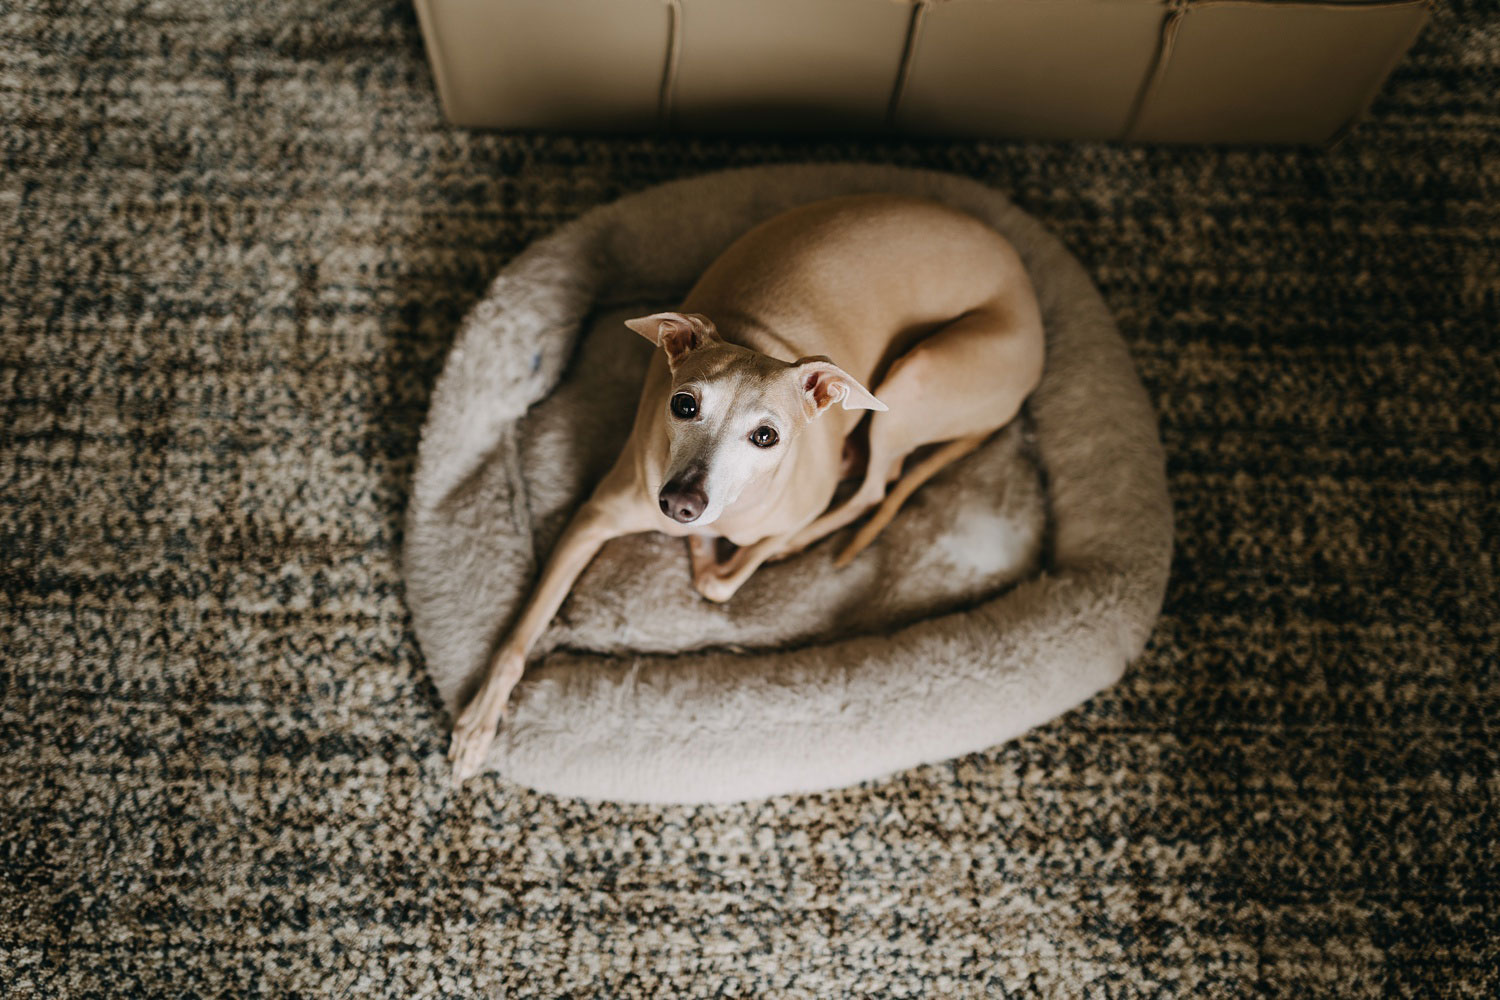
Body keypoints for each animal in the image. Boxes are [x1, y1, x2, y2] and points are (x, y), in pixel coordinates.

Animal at [447, 191, 1044, 779]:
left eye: (766, 436)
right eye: (684, 404)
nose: (681, 505)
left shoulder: (787, 513)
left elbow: (724, 580)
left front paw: (718, 551)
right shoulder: (593, 520)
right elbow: (520, 638)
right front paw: (479, 722)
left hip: (914, 381)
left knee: (878, 485)